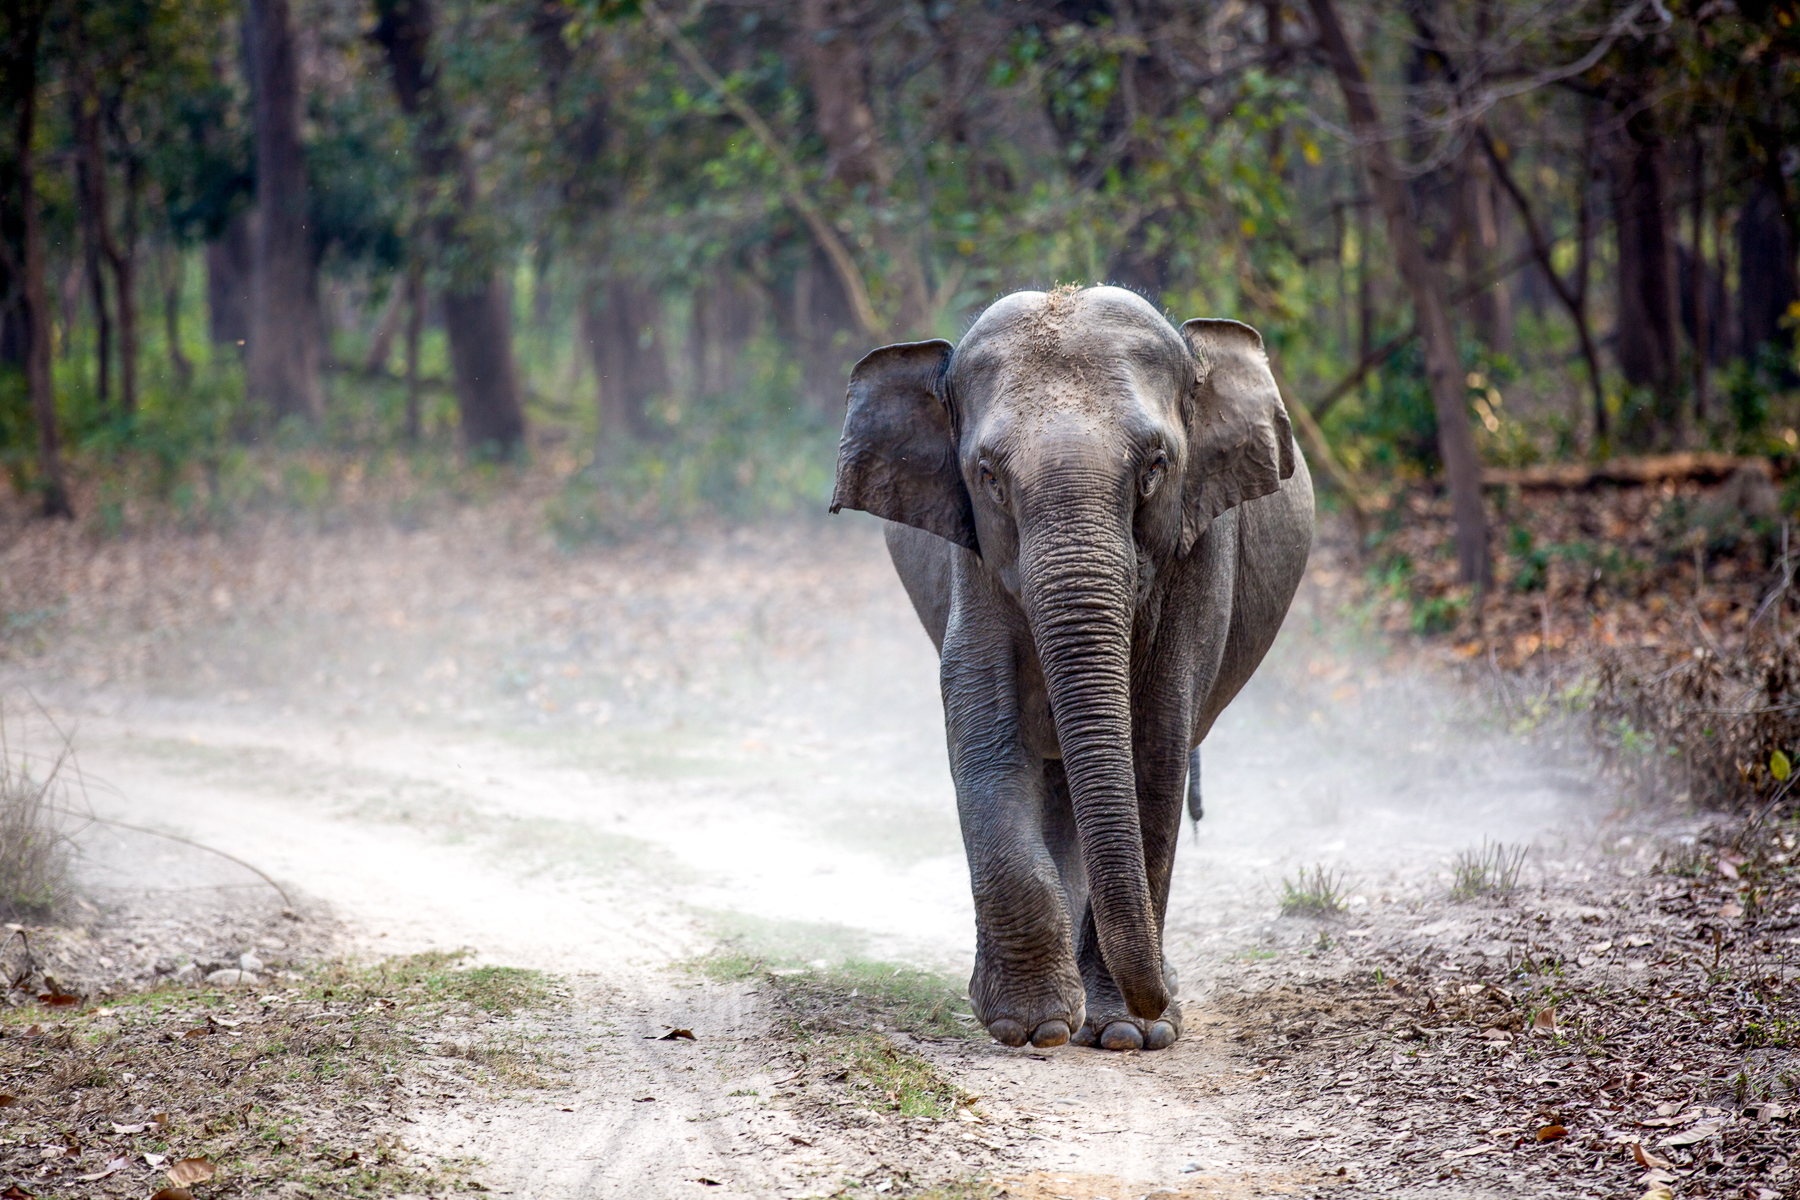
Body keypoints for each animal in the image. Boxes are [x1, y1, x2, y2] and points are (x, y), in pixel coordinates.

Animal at [829, 285, 1314, 1052]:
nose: (1158, 1002)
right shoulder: (973, 557)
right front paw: (1034, 1028)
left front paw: (1126, 1034)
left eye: (1155, 468)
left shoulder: (1201, 544)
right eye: (988, 477)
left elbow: (1156, 742)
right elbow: (984, 724)